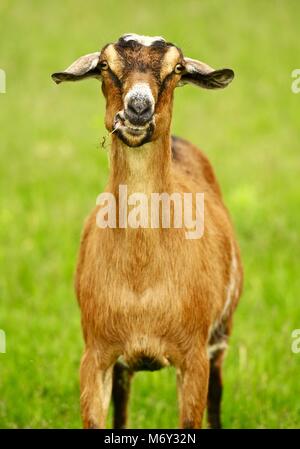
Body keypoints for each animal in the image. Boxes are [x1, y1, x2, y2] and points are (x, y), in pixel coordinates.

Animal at [52, 33, 244, 428]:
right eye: (105, 65)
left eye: (177, 68)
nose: (138, 108)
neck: (142, 279)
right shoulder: (95, 354)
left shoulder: (194, 356)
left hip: (222, 330)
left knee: (218, 394)